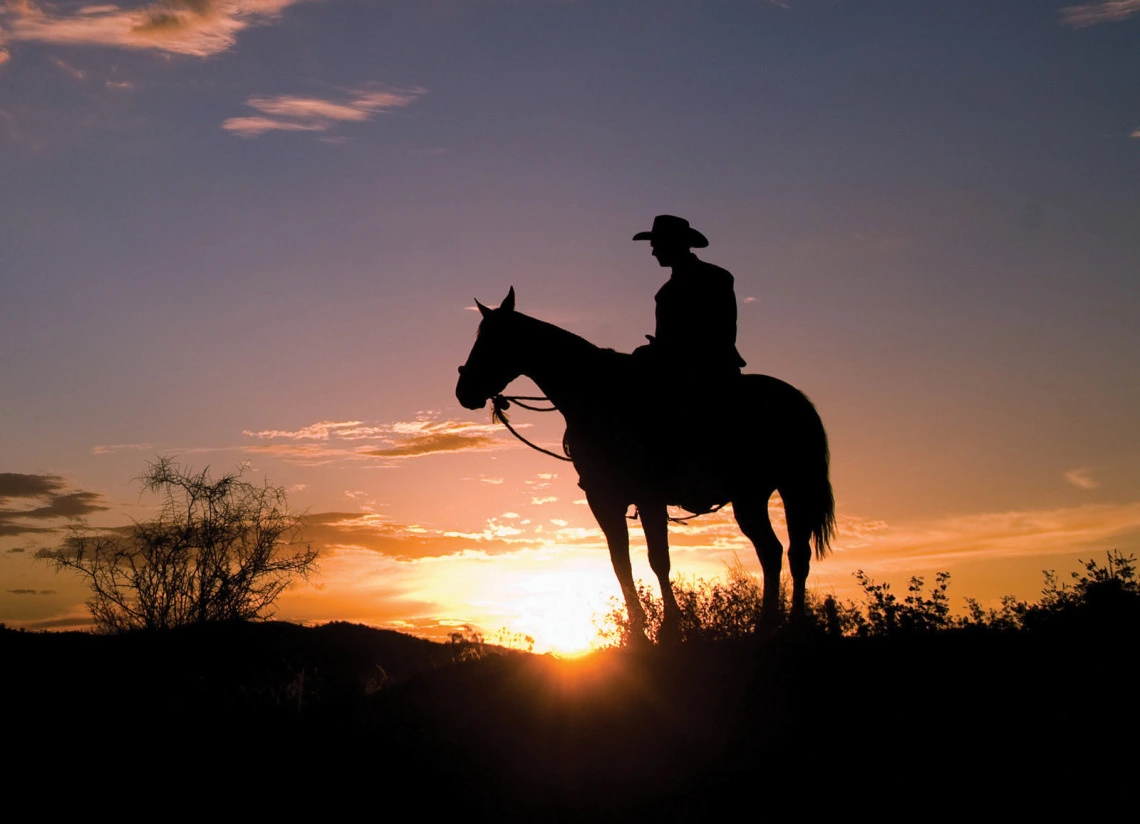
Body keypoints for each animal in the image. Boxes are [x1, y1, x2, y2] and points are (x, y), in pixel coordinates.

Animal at [456, 290, 839, 642]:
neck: (599, 397)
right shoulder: (604, 500)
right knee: (774, 552)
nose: (464, 390)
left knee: (794, 553)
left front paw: (669, 629)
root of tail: (798, 401)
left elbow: (658, 559)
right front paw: (638, 634)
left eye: (492, 341)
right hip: (755, 497)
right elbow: (621, 562)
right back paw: (769, 626)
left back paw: (793, 624)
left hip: (790, 488)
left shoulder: (649, 497)